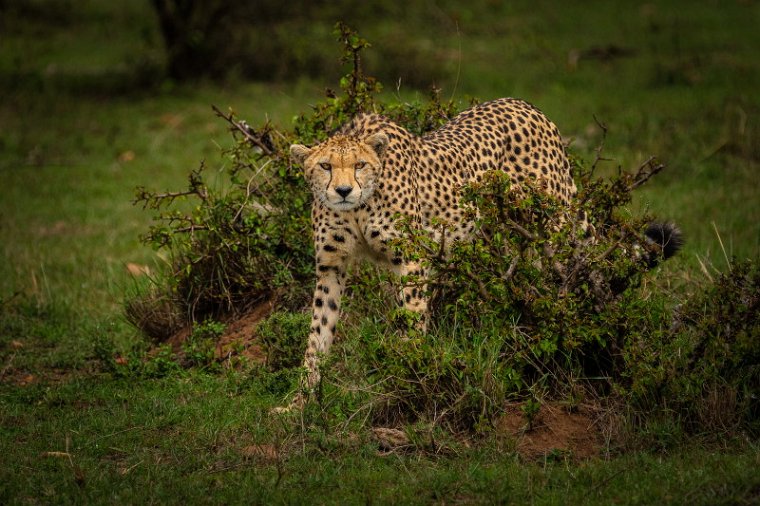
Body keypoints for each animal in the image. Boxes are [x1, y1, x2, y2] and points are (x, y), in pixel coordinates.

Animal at [288, 96, 580, 404]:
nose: (343, 191)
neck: (358, 208)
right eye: (325, 166)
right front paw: (301, 401)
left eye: (360, 165)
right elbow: (319, 330)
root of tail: (522, 103)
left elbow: (412, 318)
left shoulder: (411, 257)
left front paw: (410, 380)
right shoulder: (330, 266)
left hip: (554, 221)